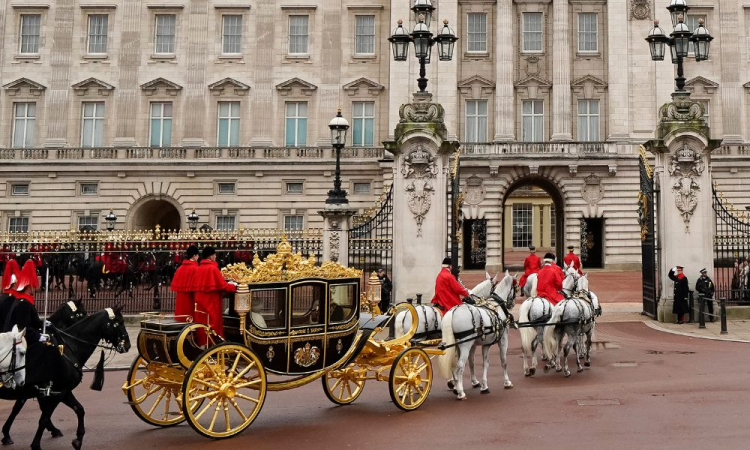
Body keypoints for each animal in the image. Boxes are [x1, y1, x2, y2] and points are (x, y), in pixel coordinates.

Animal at [438, 270, 520, 400]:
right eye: (516, 288)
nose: (511, 304)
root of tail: (453, 311)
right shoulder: (503, 339)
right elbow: (503, 360)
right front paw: (507, 382)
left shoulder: (484, 344)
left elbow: (483, 363)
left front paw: (483, 385)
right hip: (465, 345)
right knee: (460, 366)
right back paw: (460, 392)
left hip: (455, 345)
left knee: (453, 364)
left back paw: (455, 385)